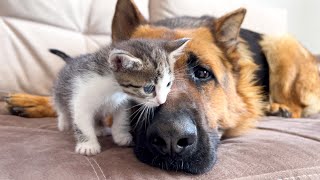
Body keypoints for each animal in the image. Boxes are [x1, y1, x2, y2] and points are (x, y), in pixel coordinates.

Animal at [51, 38, 189, 156]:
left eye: (168, 84)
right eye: (148, 88)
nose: (161, 101)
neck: (113, 88)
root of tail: (71, 60)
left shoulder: (123, 101)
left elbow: (122, 118)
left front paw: (121, 136)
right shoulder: (81, 98)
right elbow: (82, 124)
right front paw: (88, 145)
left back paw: (99, 128)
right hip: (60, 89)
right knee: (61, 106)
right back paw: (64, 123)